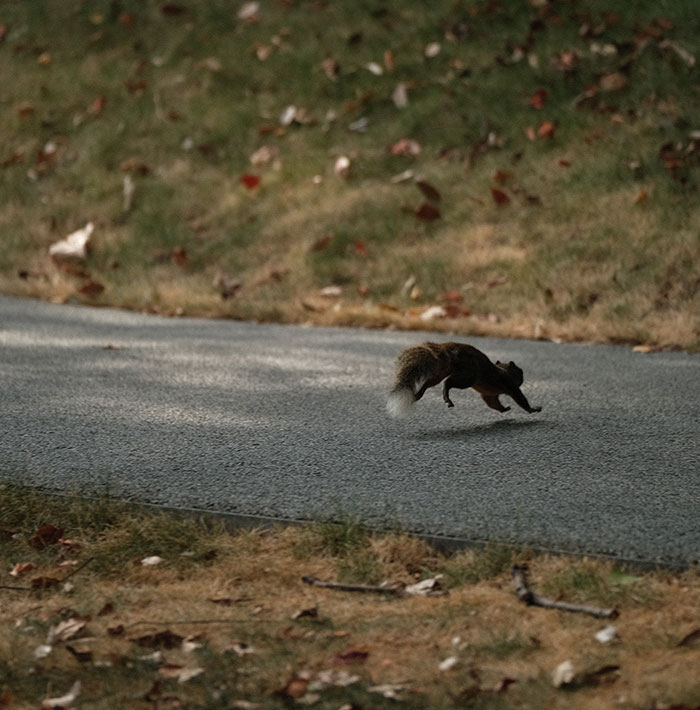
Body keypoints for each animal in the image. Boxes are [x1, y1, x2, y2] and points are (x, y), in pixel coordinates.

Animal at [386, 341, 542, 418]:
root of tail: (450, 349)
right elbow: (520, 398)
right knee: (448, 382)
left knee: (429, 383)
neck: (504, 371)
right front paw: (533, 409)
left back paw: (418, 394)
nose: (523, 375)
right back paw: (447, 397)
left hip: (441, 371)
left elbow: (493, 403)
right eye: (520, 372)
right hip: (468, 375)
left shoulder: (489, 394)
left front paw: (504, 409)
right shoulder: (510, 385)